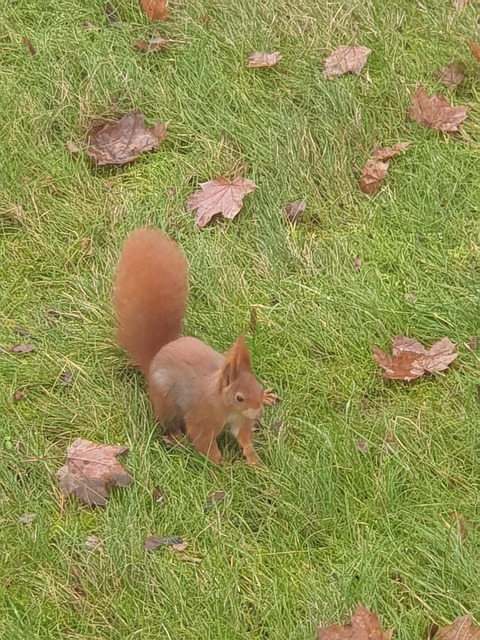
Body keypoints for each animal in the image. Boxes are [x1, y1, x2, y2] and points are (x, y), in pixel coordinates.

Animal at [113, 227, 277, 465]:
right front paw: (224, 466)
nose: (258, 413)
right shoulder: (202, 416)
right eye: (239, 397)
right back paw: (177, 439)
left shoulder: (239, 418)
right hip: (165, 403)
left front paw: (254, 461)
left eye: (258, 385)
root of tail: (157, 355)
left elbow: (244, 437)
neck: (224, 404)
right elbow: (204, 441)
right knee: (169, 423)